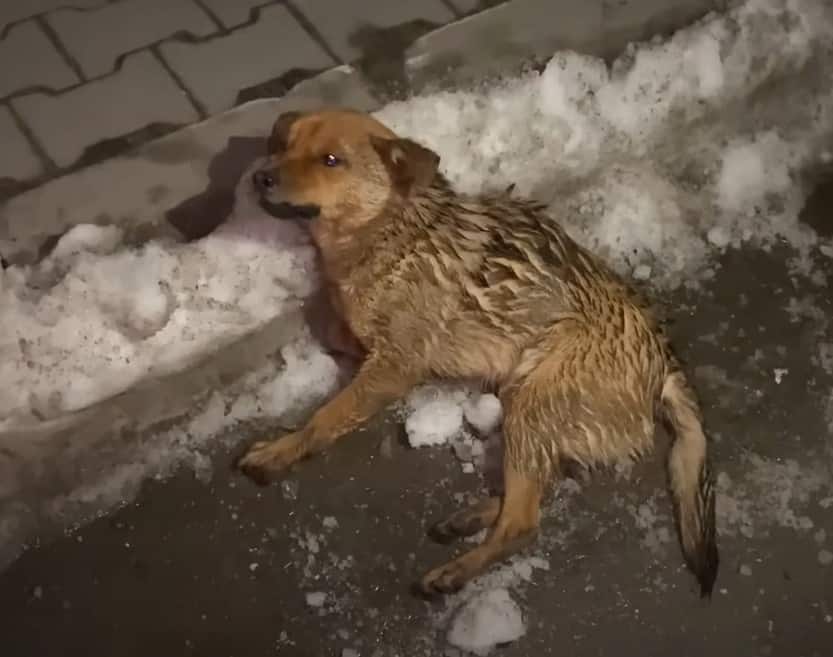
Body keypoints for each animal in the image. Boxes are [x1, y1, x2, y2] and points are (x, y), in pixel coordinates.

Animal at [237, 106, 720, 596]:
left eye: (331, 160)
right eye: (286, 144)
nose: (260, 177)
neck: (393, 231)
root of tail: (665, 362)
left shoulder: (393, 367)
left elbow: (325, 417)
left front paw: (280, 451)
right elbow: (334, 325)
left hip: (532, 402)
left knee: (524, 521)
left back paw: (456, 570)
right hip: (525, 399)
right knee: (548, 479)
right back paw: (472, 517)